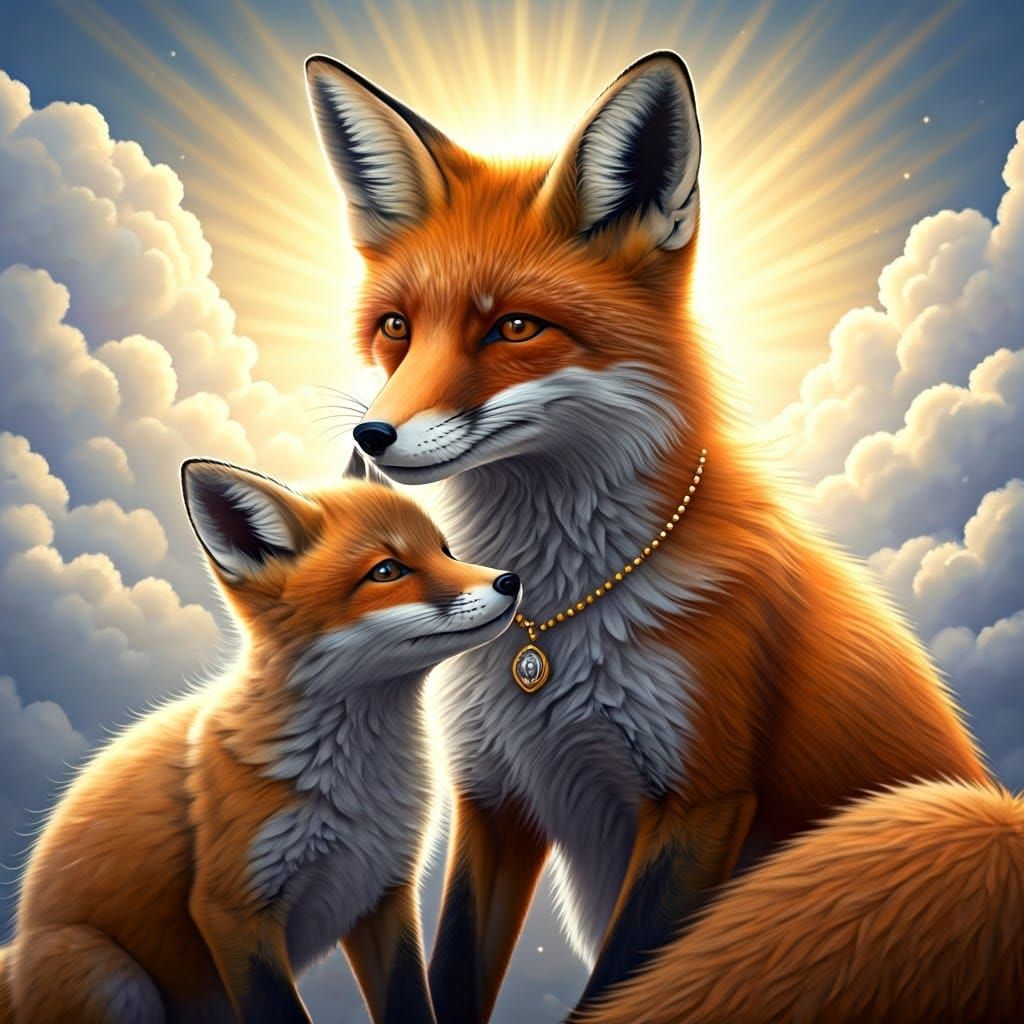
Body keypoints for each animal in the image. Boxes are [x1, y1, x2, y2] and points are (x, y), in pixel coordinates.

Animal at [0, 457, 522, 1024]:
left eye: (445, 550)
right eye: (387, 571)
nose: (510, 580)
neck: (355, 785)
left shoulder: (382, 888)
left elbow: (409, 1001)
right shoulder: (231, 908)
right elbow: (279, 1010)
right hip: (108, 974)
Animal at [304, 49, 1024, 1023]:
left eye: (515, 327)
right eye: (396, 329)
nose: (371, 436)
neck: (553, 623)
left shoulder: (699, 802)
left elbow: (620, 986)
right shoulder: (494, 797)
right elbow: (455, 971)